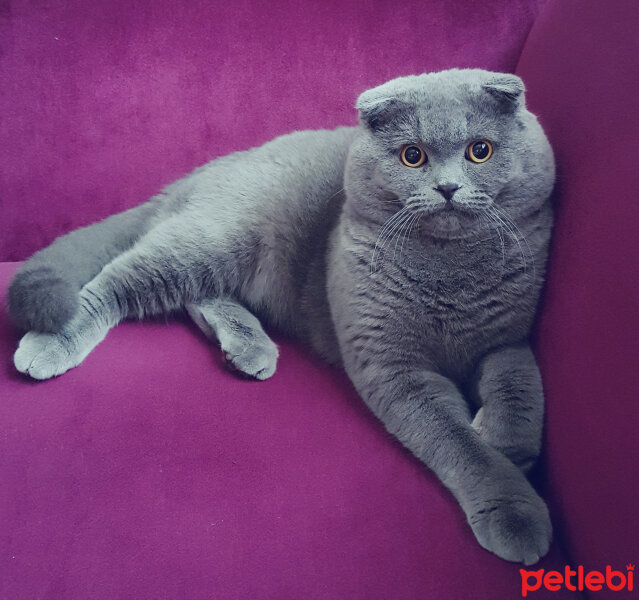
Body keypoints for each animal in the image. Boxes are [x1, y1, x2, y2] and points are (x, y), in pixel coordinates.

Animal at [6, 68, 556, 564]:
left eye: (480, 150)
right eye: (412, 155)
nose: (447, 188)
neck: (449, 274)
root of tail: (202, 172)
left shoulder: (507, 337)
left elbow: (521, 384)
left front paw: (509, 441)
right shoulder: (394, 369)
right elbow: (458, 443)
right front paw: (516, 513)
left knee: (197, 298)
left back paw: (247, 347)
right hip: (218, 236)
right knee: (119, 279)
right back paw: (51, 344)